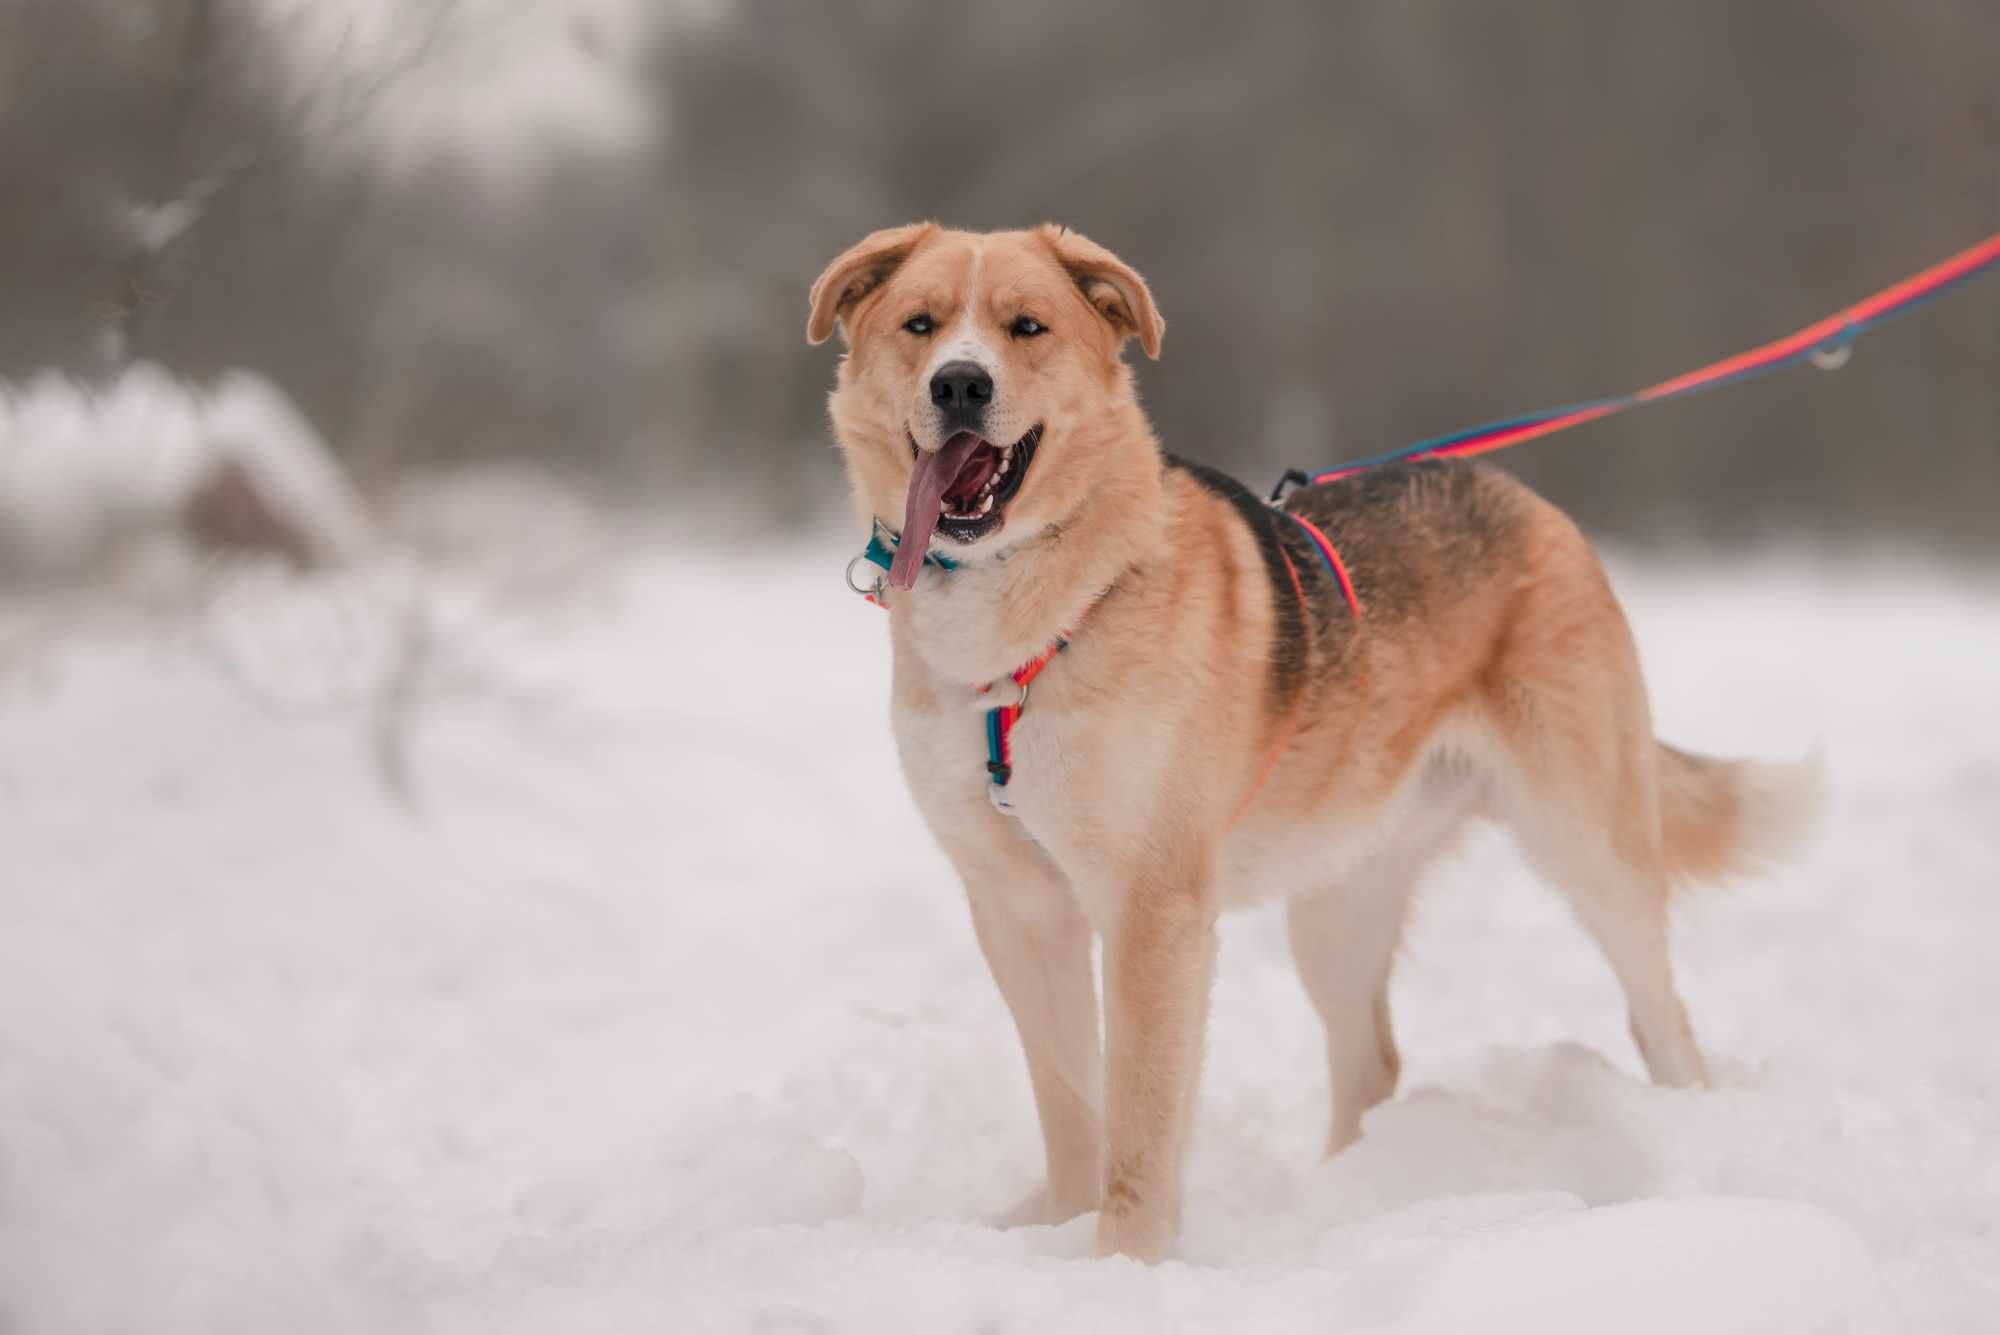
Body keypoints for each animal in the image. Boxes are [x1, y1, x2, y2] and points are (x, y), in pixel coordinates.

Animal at [804, 221, 1824, 1263]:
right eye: (921, 324)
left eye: (1026, 326)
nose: (960, 385)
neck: (1030, 636)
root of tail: (1516, 491)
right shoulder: (1017, 907)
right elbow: (1072, 1105)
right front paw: (1062, 1233)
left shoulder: (1152, 911)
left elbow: (1139, 1121)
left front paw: (1124, 1262)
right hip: (1337, 902)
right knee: (1372, 1062)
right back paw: (1343, 1200)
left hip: (1588, 848)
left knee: (1664, 1021)